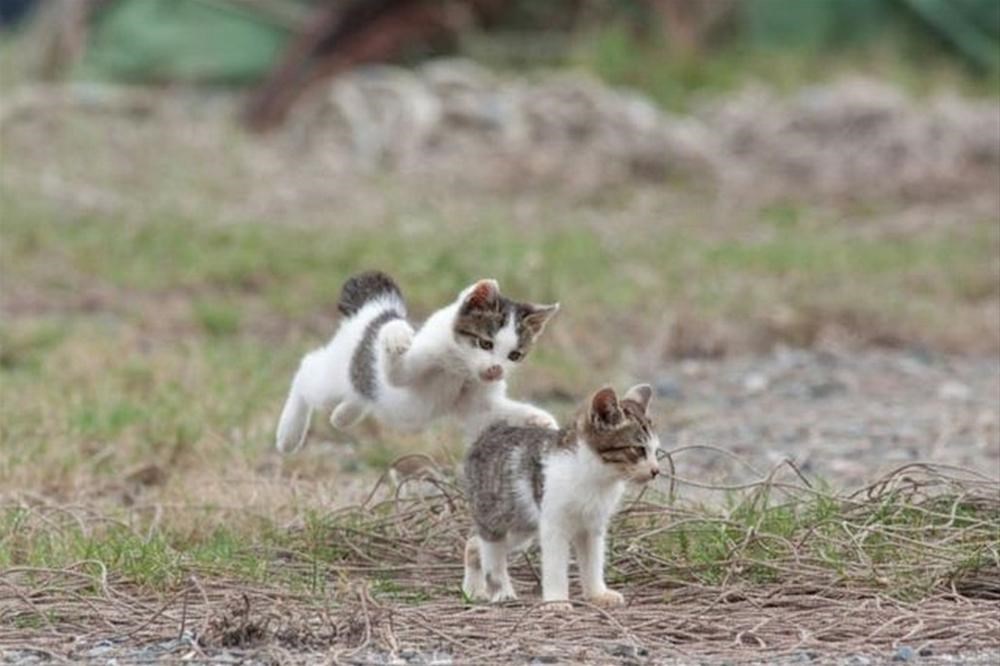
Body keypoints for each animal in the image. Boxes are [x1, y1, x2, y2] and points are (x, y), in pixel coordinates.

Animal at [278, 270, 560, 452]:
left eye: (515, 355)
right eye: (485, 344)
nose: (496, 370)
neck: (459, 369)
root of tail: (373, 310)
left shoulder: (476, 405)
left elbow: (496, 412)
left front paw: (541, 419)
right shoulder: (406, 370)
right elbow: (395, 369)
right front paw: (397, 332)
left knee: (359, 391)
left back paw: (342, 416)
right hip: (331, 377)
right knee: (306, 369)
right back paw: (288, 434)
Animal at [462, 384, 664, 608]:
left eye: (655, 451)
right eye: (638, 449)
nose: (656, 471)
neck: (595, 476)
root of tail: (491, 430)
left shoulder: (592, 527)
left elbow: (593, 562)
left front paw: (597, 594)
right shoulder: (554, 525)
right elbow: (556, 566)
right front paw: (557, 601)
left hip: (521, 528)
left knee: (473, 544)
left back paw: (473, 591)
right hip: (495, 517)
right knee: (491, 551)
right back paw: (501, 592)